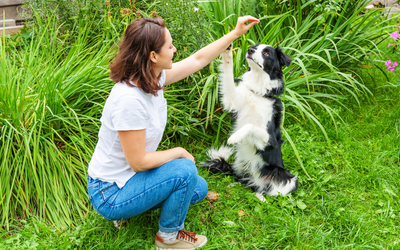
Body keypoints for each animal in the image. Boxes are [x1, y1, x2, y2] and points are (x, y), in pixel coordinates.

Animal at [203, 42, 296, 199]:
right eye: (255, 47)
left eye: (266, 53)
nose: (250, 50)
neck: (258, 93)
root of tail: (257, 181)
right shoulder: (232, 100)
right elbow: (228, 72)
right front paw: (227, 49)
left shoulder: (269, 140)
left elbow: (251, 125)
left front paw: (235, 137)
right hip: (239, 163)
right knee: (246, 182)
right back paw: (235, 186)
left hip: (288, 178)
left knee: (267, 190)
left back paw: (262, 198)